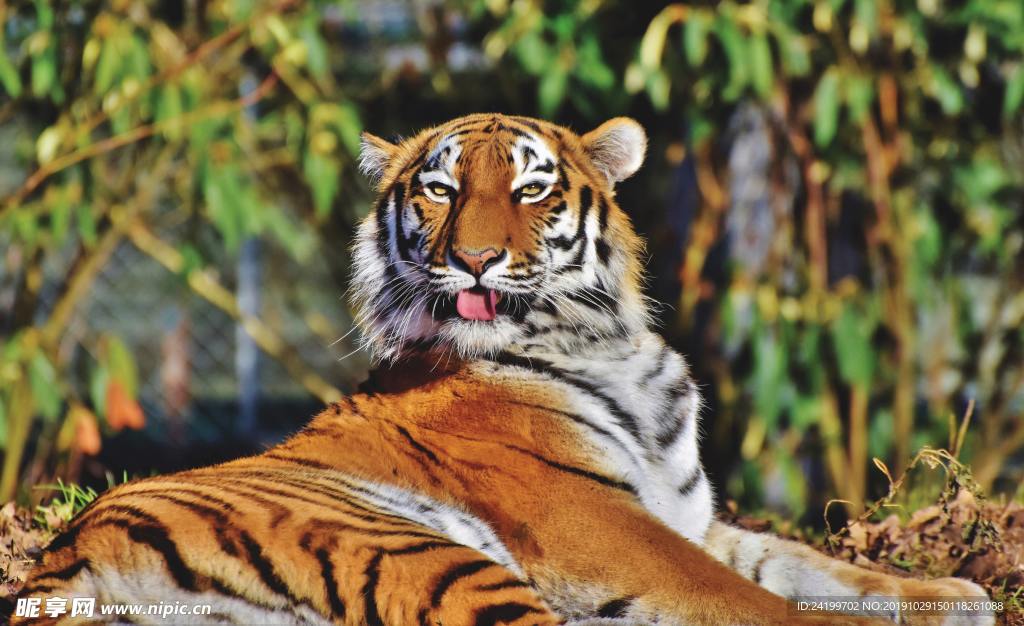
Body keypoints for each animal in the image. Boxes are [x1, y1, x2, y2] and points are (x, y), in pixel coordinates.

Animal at [14, 113, 993, 626]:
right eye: (440, 190)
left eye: (531, 189)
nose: (477, 260)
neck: (606, 342)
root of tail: (60, 563)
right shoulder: (599, 525)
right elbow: (748, 600)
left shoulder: (686, 515)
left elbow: (809, 566)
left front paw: (952, 593)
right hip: (422, 551)